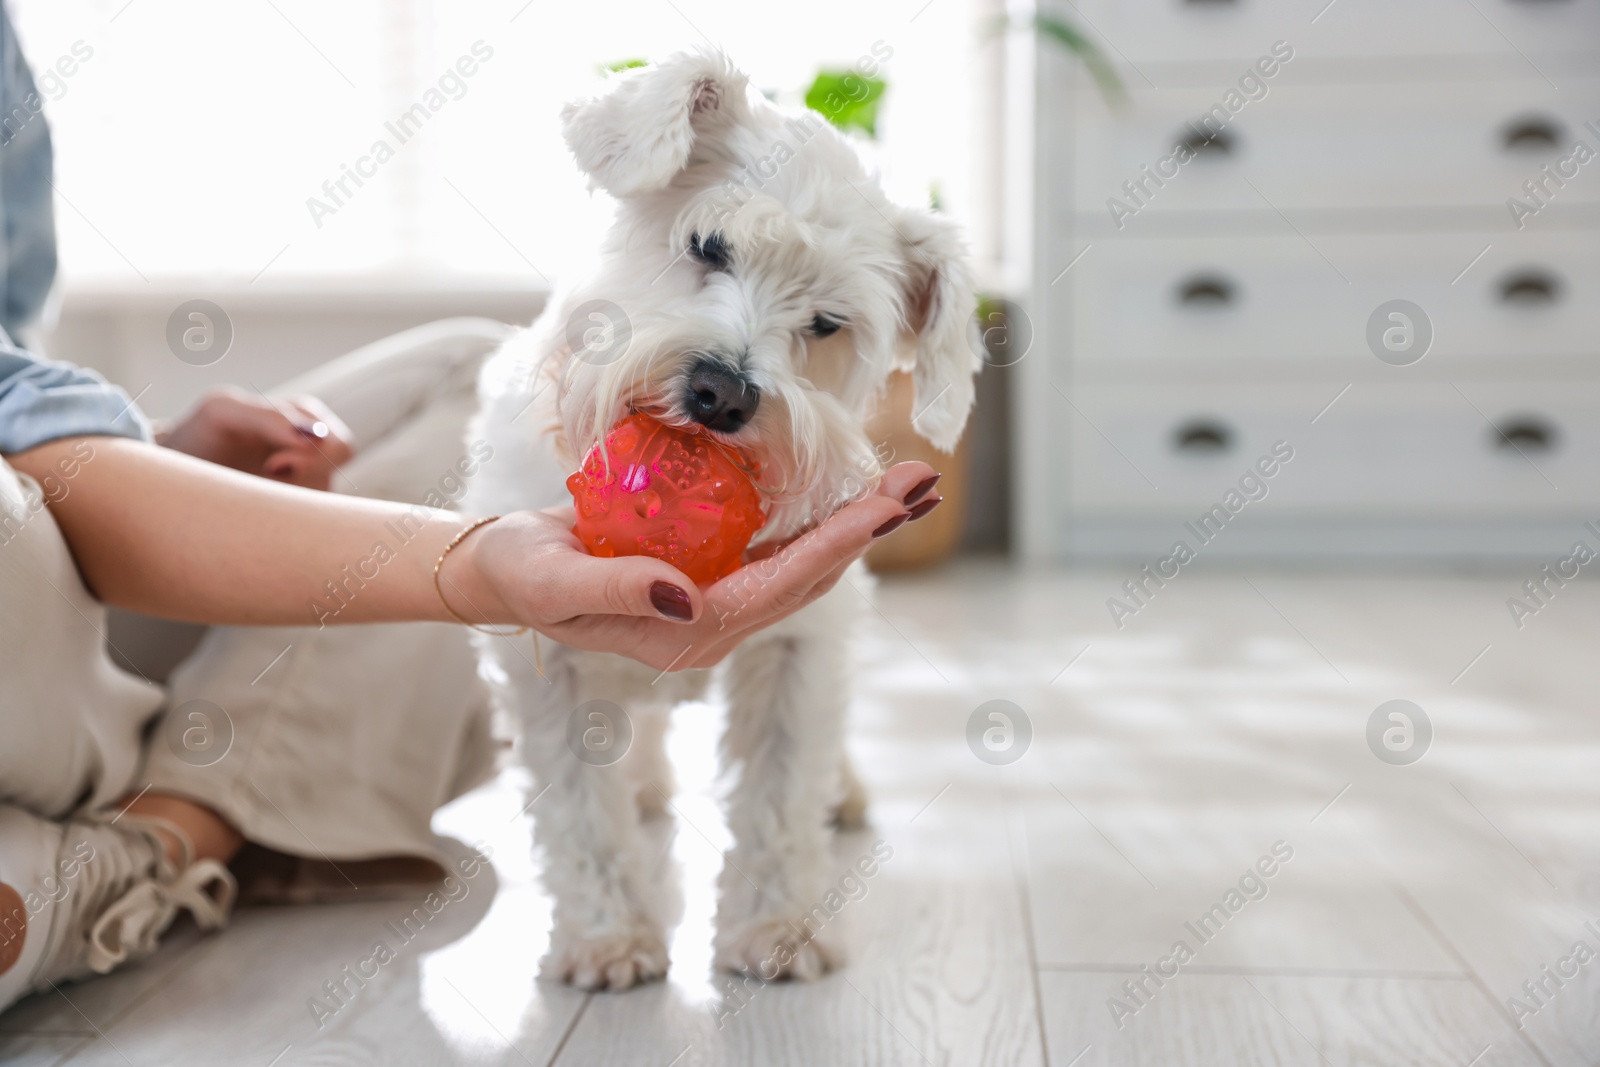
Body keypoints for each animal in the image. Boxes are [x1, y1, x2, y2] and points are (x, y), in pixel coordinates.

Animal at [467, 51, 972, 991]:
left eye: (827, 323)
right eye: (708, 245)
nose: (721, 393)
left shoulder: (800, 645)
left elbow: (779, 791)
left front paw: (776, 928)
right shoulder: (548, 662)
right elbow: (578, 809)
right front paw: (608, 937)